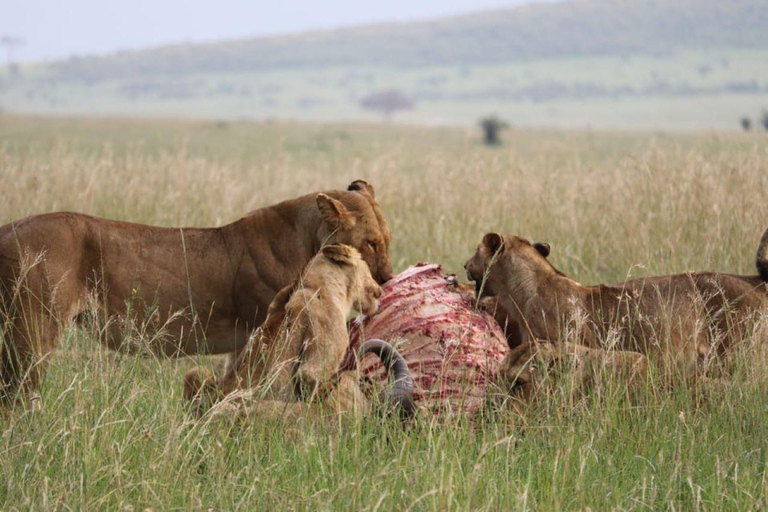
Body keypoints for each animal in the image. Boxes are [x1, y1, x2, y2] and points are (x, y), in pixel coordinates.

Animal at [0, 180, 392, 408]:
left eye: (387, 239)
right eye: (371, 243)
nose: (387, 280)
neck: (308, 239)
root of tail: (7, 229)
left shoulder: (244, 342)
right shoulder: (270, 328)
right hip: (33, 332)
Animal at [184, 246, 416, 422]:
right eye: (366, 267)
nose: (380, 289)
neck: (315, 285)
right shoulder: (324, 349)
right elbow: (316, 381)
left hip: (197, 373)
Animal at [464, 231, 768, 380]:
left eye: (475, 252)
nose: (465, 265)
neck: (521, 292)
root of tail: (755, 281)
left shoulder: (573, 347)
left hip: (737, 355)